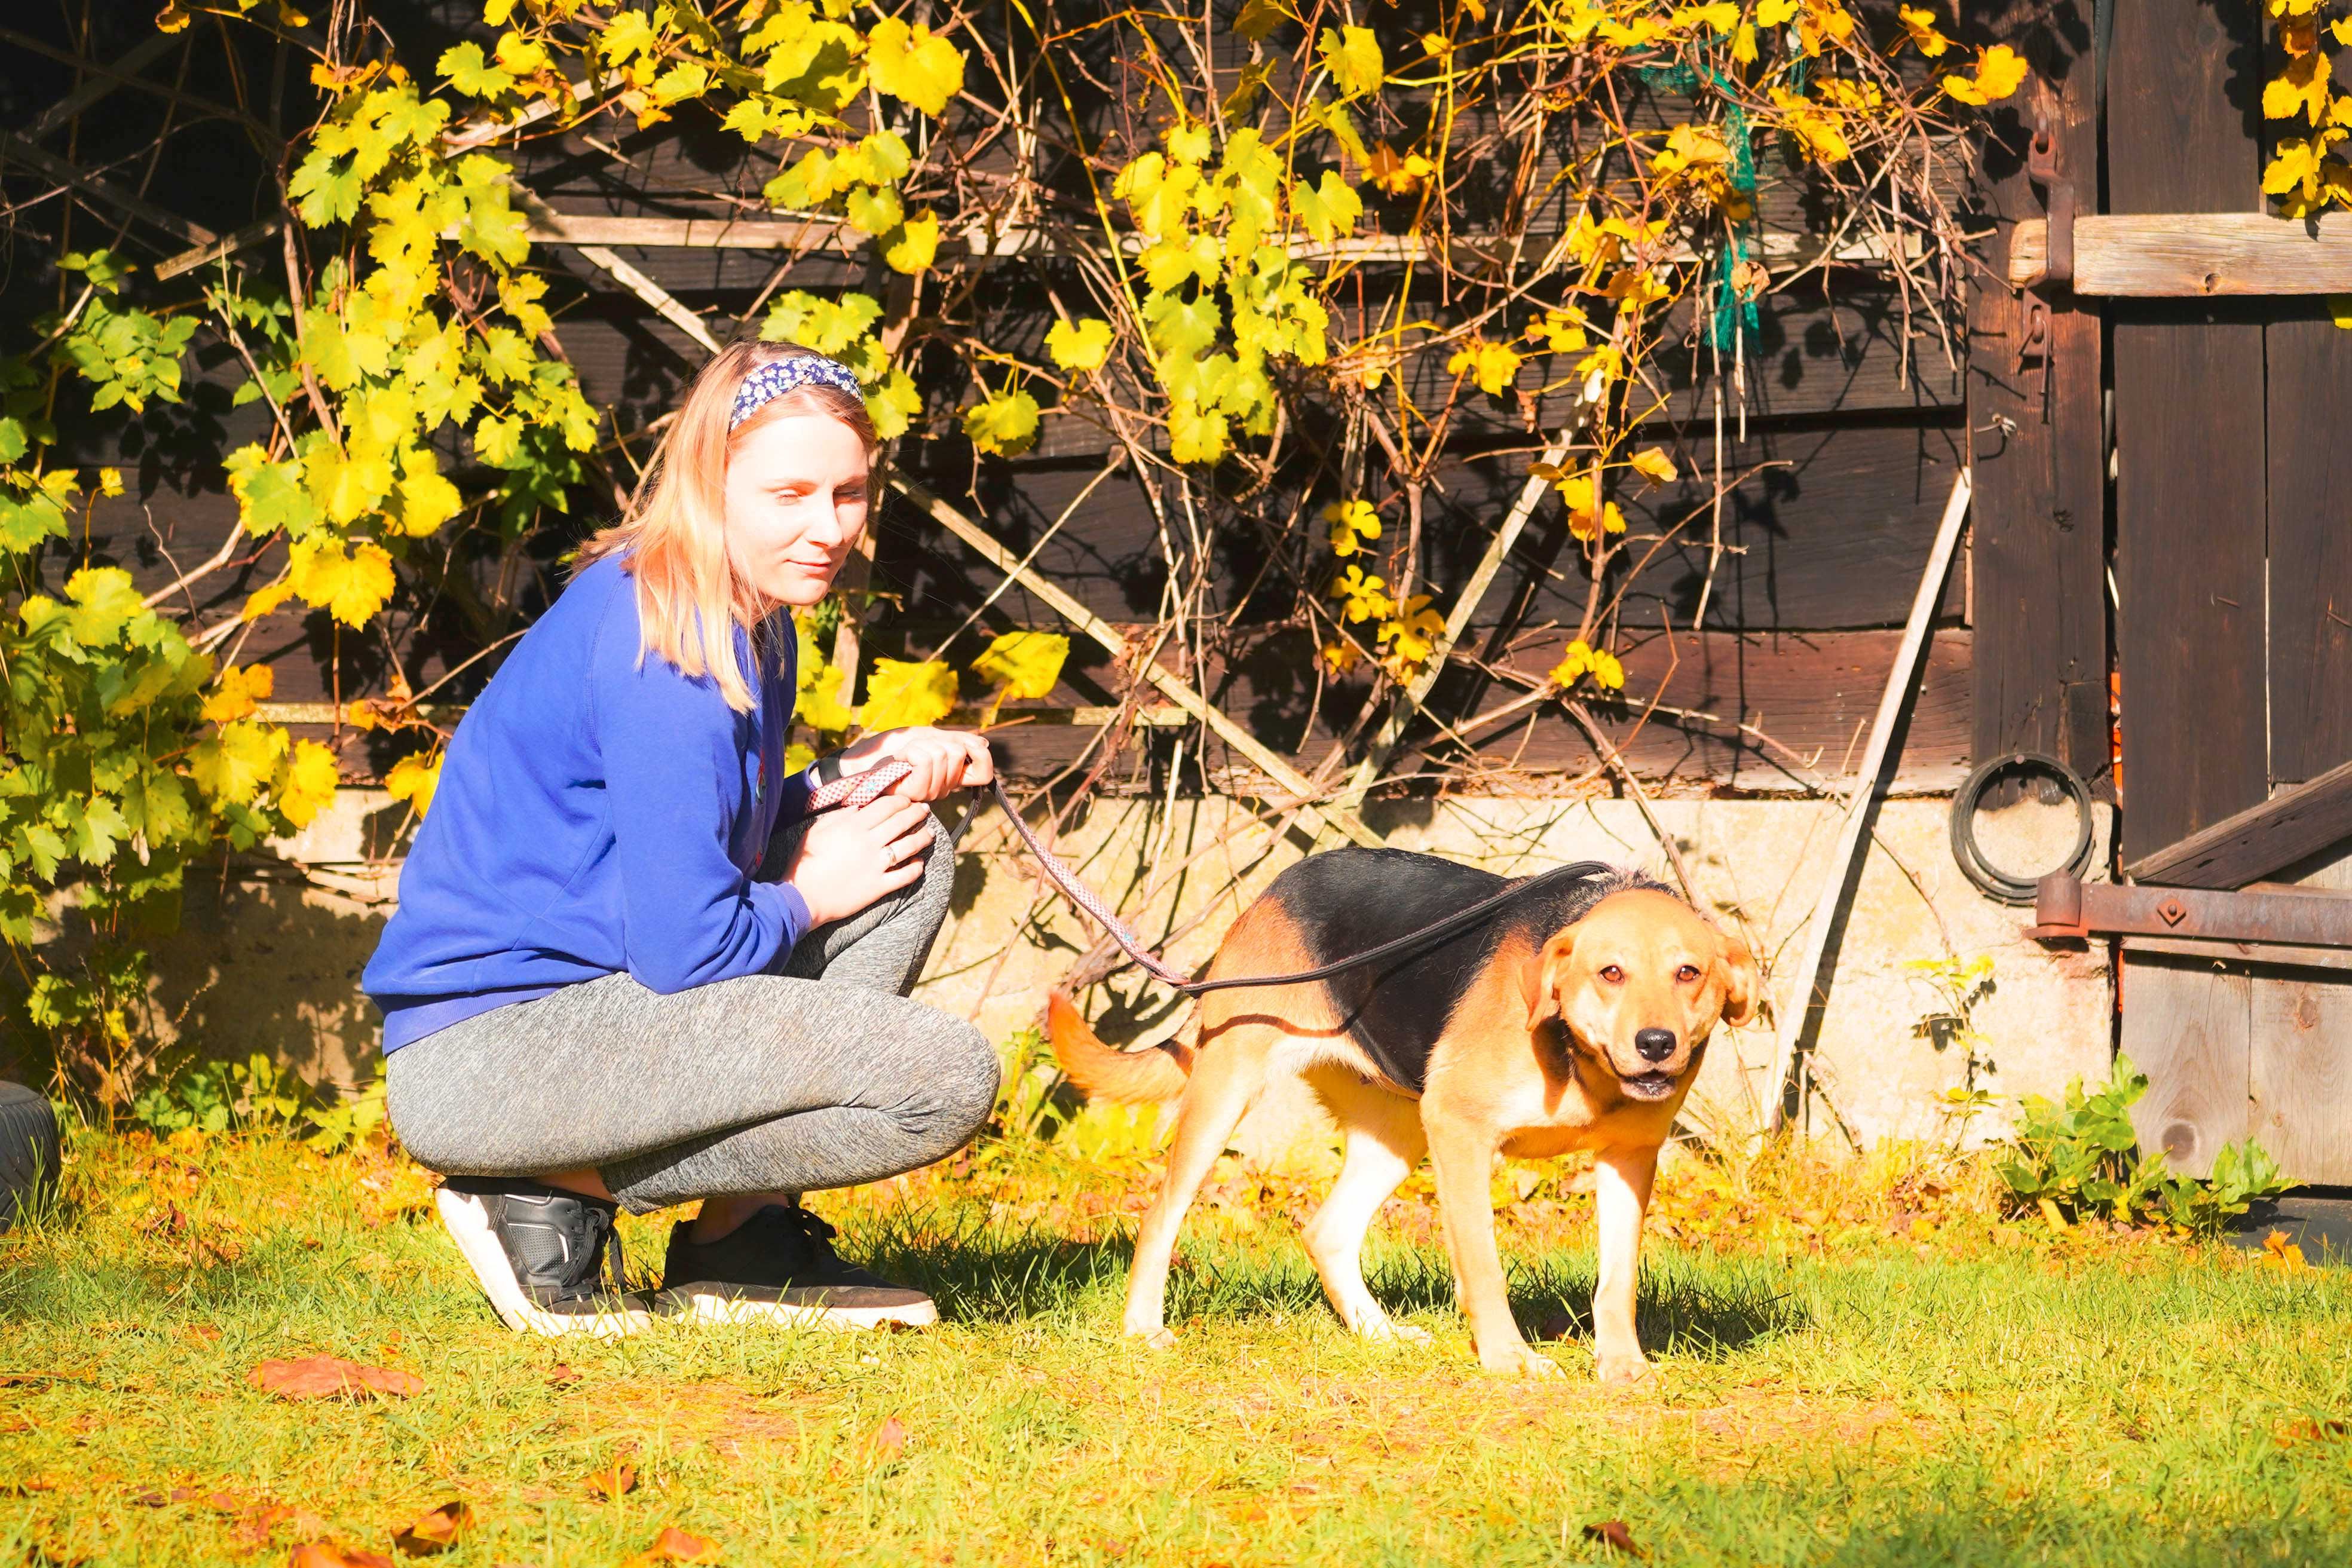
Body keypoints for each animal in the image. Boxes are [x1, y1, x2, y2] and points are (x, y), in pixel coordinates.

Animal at [1044, 851, 1750, 1382]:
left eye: (1689, 972)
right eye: (1611, 973)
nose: (1657, 1044)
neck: (1577, 1055)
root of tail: (1280, 883)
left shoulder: (1630, 1157)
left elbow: (1618, 1278)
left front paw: (1622, 1364)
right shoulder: (1461, 1130)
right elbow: (1484, 1266)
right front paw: (1509, 1360)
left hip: (1399, 1130)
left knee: (1326, 1231)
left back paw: (1376, 1332)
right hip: (1227, 1092)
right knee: (1162, 1213)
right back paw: (1143, 1326)